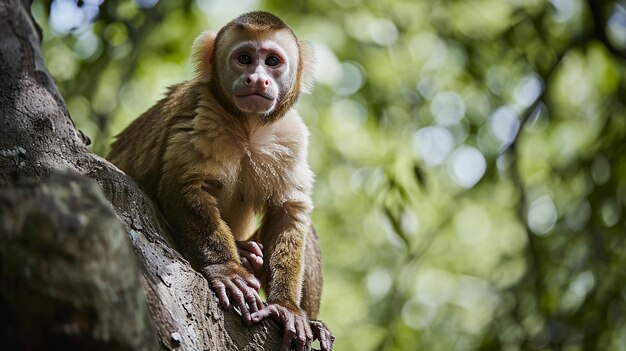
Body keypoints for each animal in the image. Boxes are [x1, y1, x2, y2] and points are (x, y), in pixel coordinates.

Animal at [107, 11, 332, 351]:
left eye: (272, 61)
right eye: (244, 58)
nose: (257, 79)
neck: (248, 128)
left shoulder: (291, 135)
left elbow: (289, 212)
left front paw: (287, 308)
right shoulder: (201, 111)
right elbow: (185, 186)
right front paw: (227, 270)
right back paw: (243, 254)